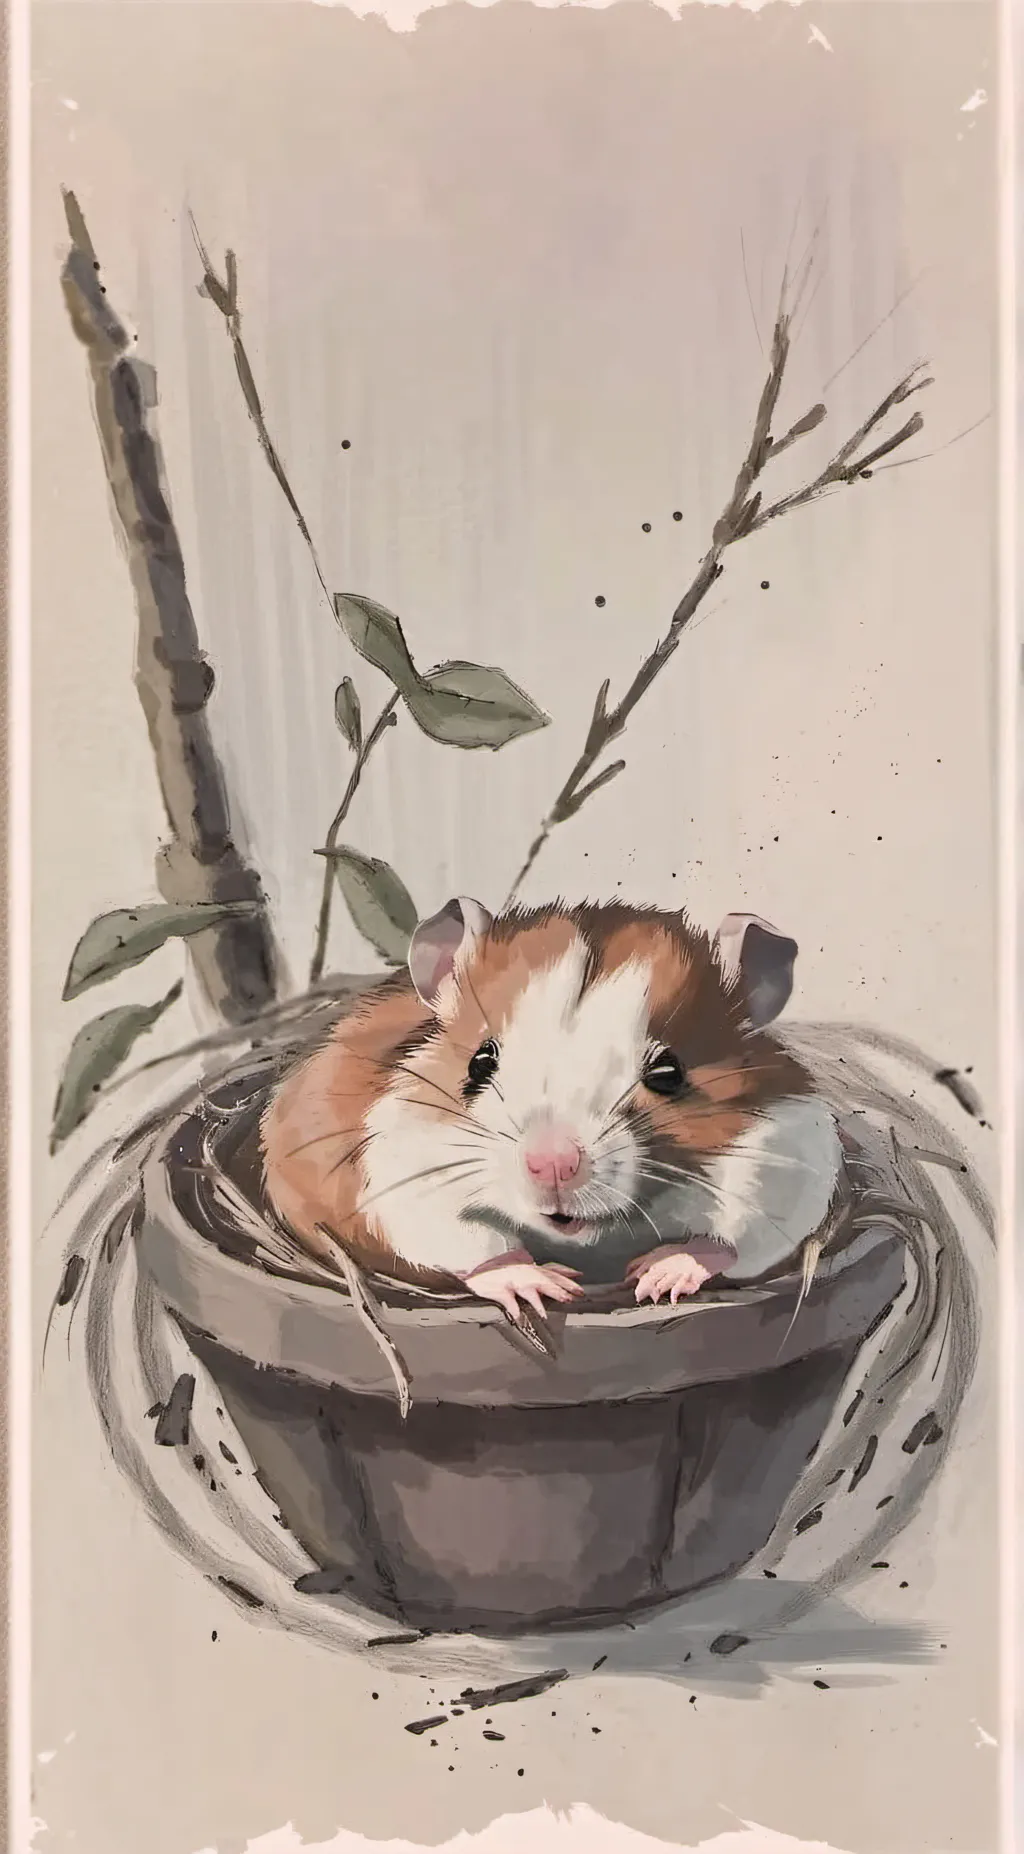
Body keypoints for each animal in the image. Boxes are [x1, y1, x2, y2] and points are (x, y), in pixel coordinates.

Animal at [259, 898, 843, 1317]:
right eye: (480, 1063)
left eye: (668, 1074)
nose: (553, 1165)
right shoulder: (397, 1172)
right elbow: (472, 1242)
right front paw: (547, 1285)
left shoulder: (790, 1157)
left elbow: (737, 1239)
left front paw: (658, 1275)